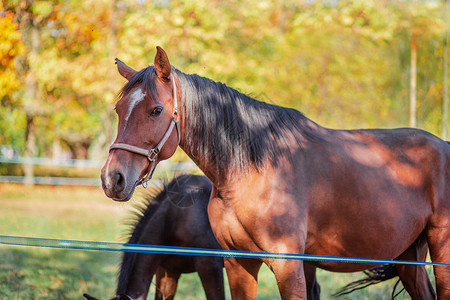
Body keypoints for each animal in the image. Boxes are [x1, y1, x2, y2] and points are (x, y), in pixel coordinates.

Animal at [102, 45, 450, 298]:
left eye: (156, 110)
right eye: (118, 110)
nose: (112, 178)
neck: (252, 170)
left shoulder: (288, 267)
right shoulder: (237, 264)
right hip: (409, 257)